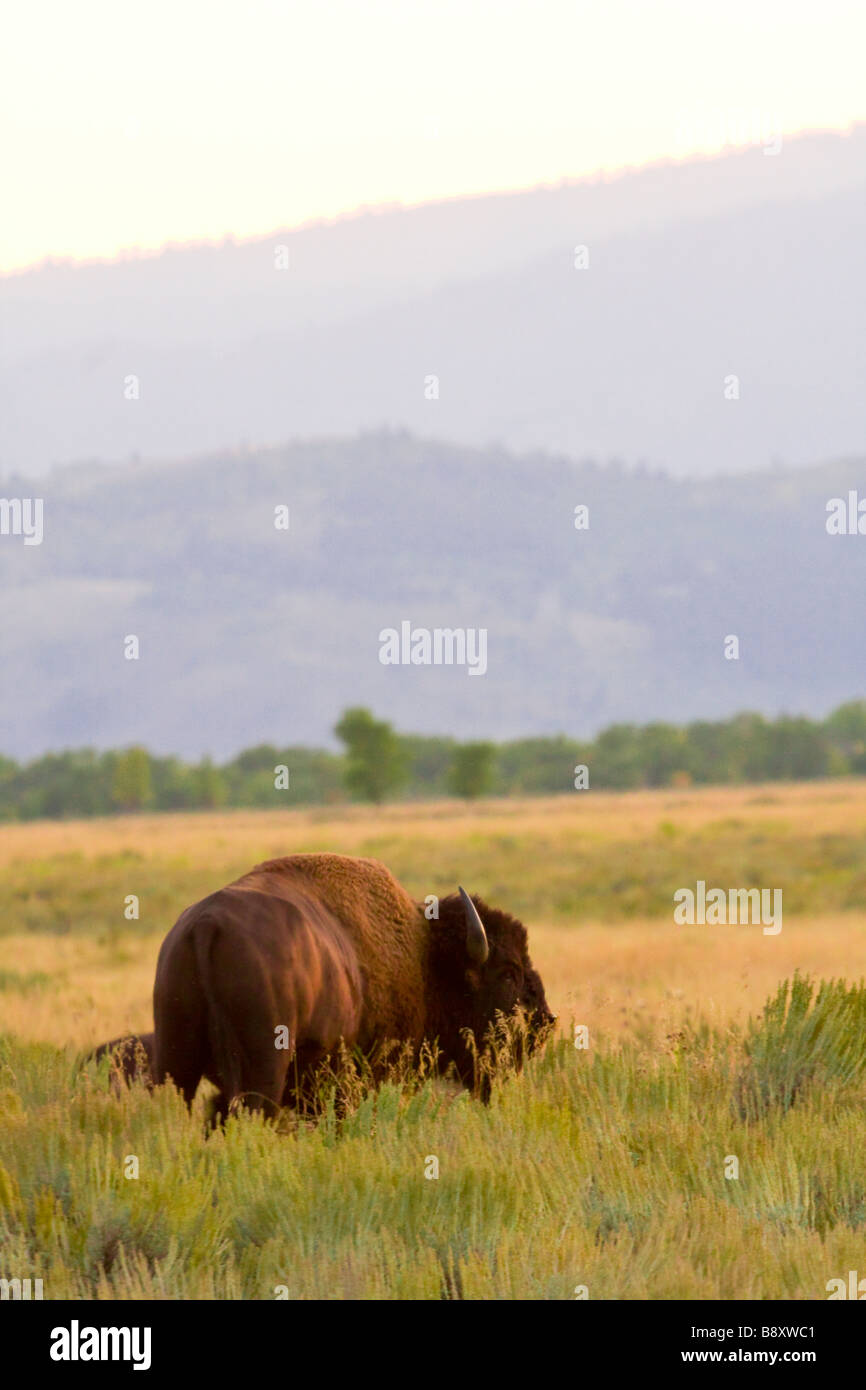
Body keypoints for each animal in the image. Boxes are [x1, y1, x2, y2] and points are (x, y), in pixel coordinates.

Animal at [153, 852, 553, 1118]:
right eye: (508, 973)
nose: (545, 1023)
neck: (423, 958)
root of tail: (206, 926)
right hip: (262, 1068)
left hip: (176, 1061)